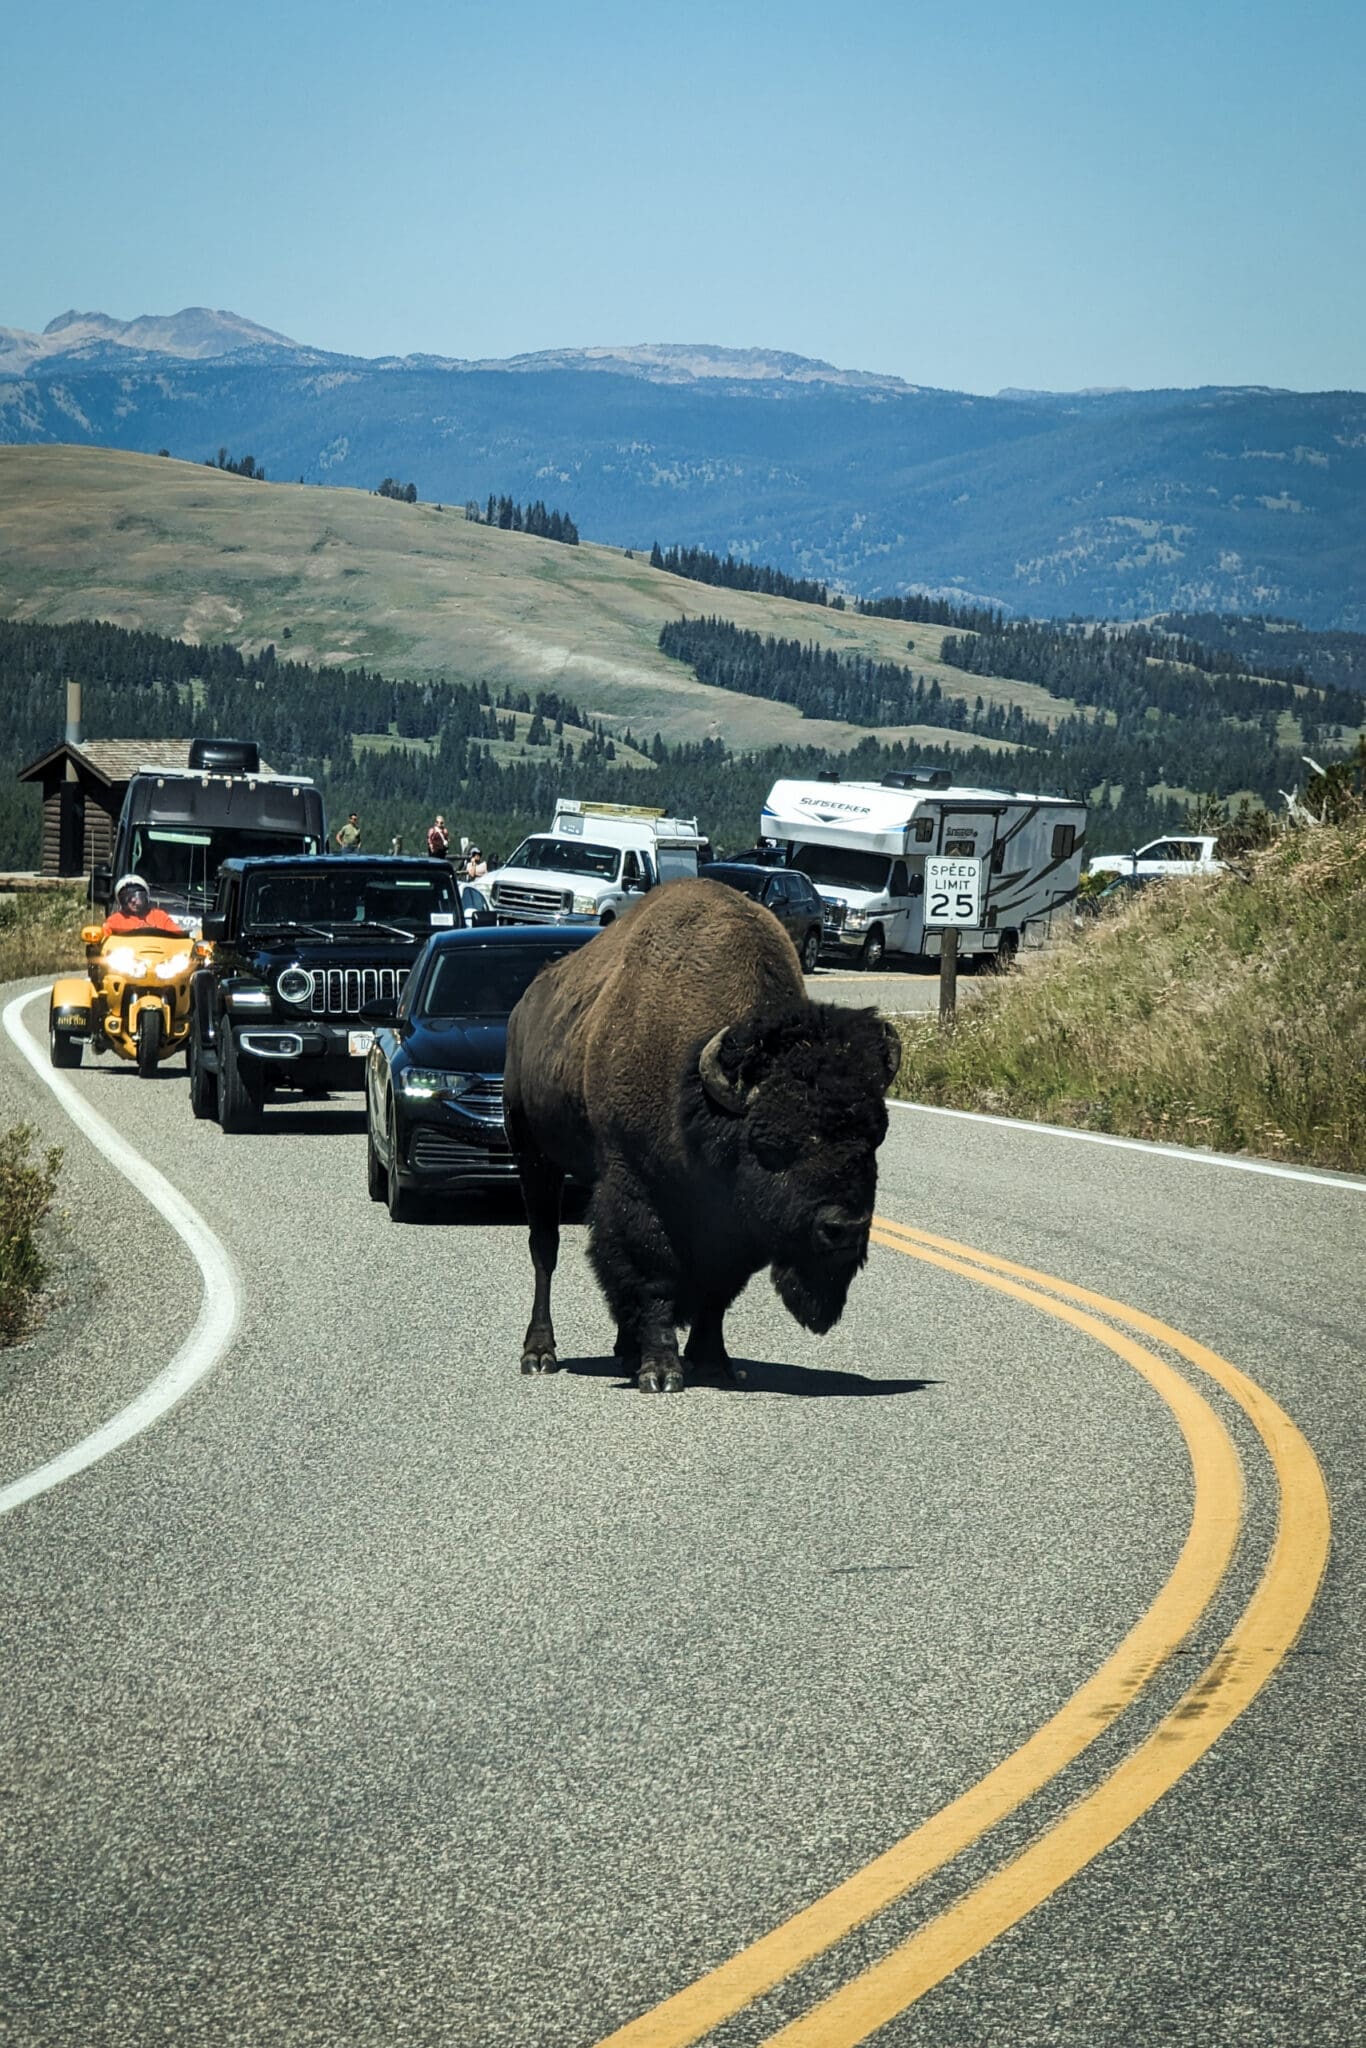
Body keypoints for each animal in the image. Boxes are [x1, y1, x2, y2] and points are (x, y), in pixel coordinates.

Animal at [507, 876, 901, 1392]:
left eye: (875, 1137)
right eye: (773, 1144)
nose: (844, 1229)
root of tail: (524, 1007)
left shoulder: (733, 1221)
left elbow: (716, 1289)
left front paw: (713, 1362)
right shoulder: (638, 1182)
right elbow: (653, 1271)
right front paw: (661, 1373)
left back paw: (625, 1353)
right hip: (534, 1155)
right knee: (545, 1250)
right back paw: (540, 1354)